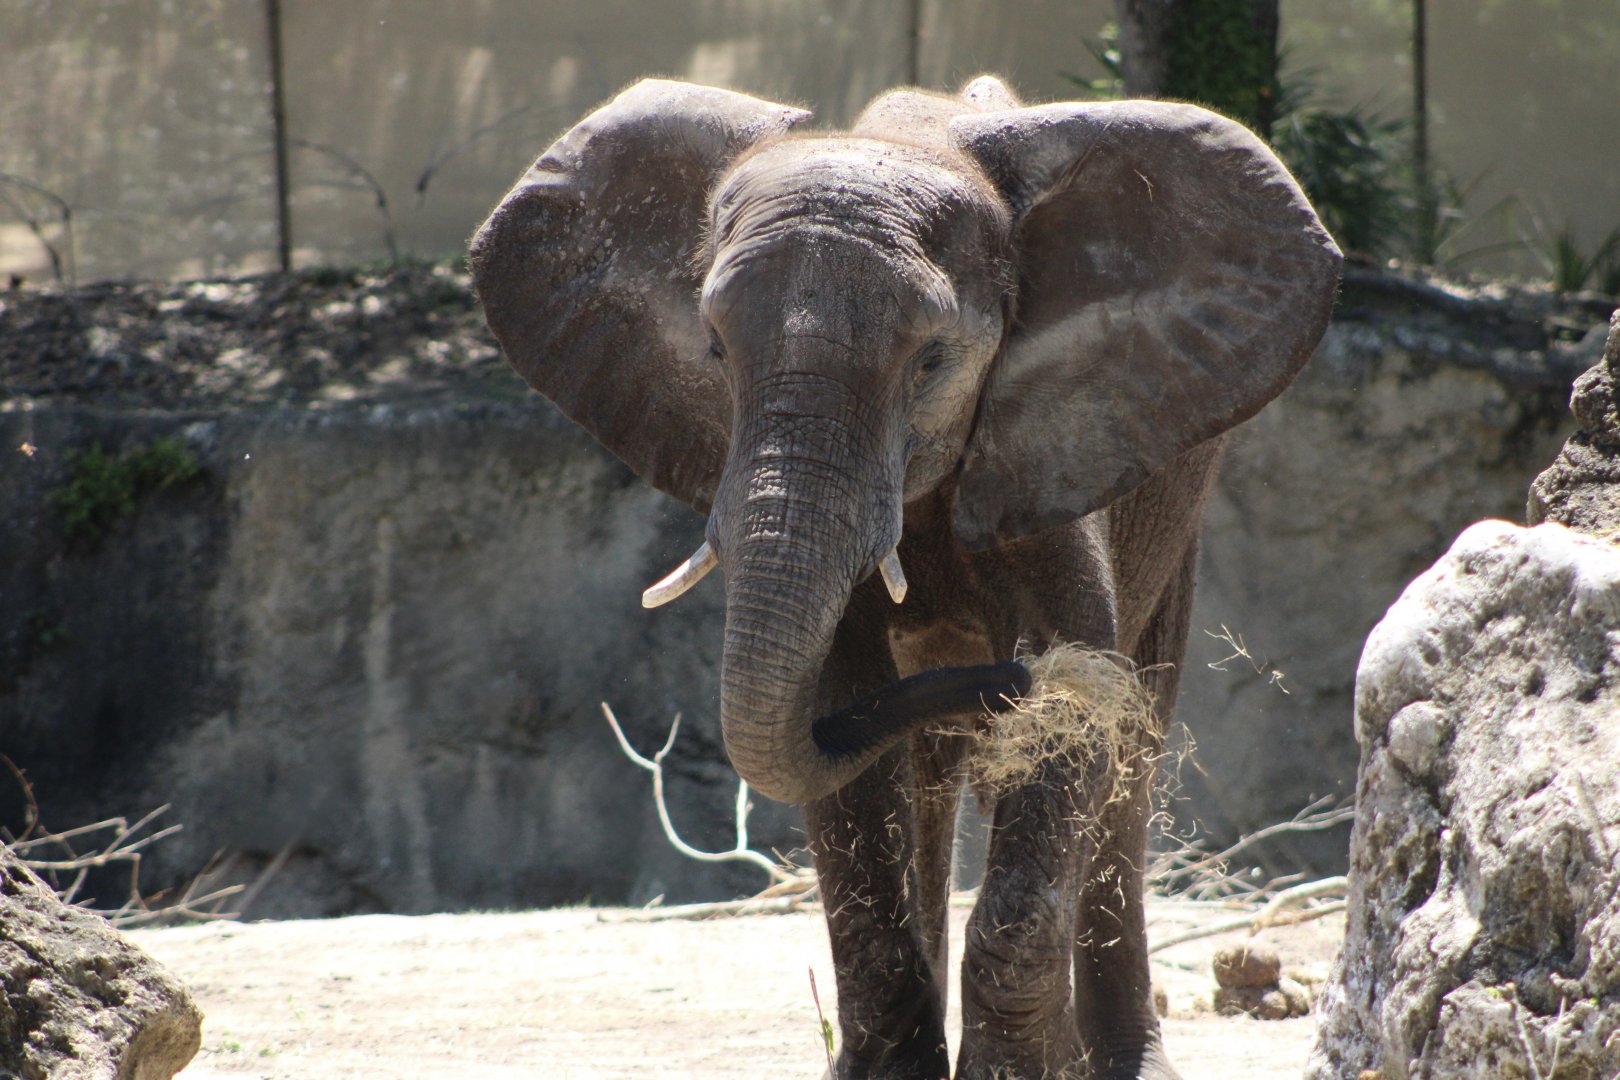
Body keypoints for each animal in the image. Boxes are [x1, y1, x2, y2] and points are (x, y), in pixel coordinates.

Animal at [470, 75, 1339, 1079]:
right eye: (716, 352)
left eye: (932, 359)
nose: (1005, 678)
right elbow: (842, 709)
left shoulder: (1054, 445)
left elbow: (1082, 699)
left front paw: (1021, 1071)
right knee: (927, 760)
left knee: (1136, 741)